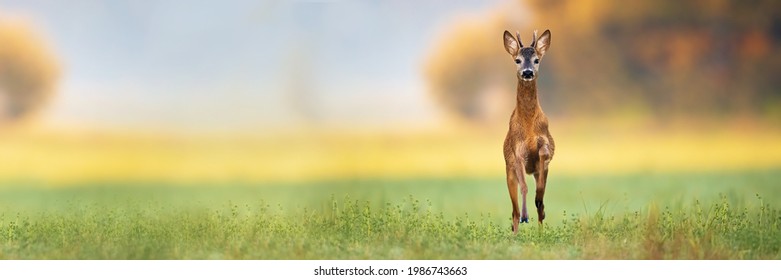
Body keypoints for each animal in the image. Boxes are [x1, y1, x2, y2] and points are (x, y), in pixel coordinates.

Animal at [500, 29, 556, 234]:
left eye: (536, 60)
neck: (529, 125)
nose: (527, 72)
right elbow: (524, 187)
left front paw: (539, 203)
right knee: (513, 210)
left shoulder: (545, 149)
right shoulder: (517, 152)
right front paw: (526, 216)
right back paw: (516, 229)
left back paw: (540, 229)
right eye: (517, 60)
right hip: (509, 172)